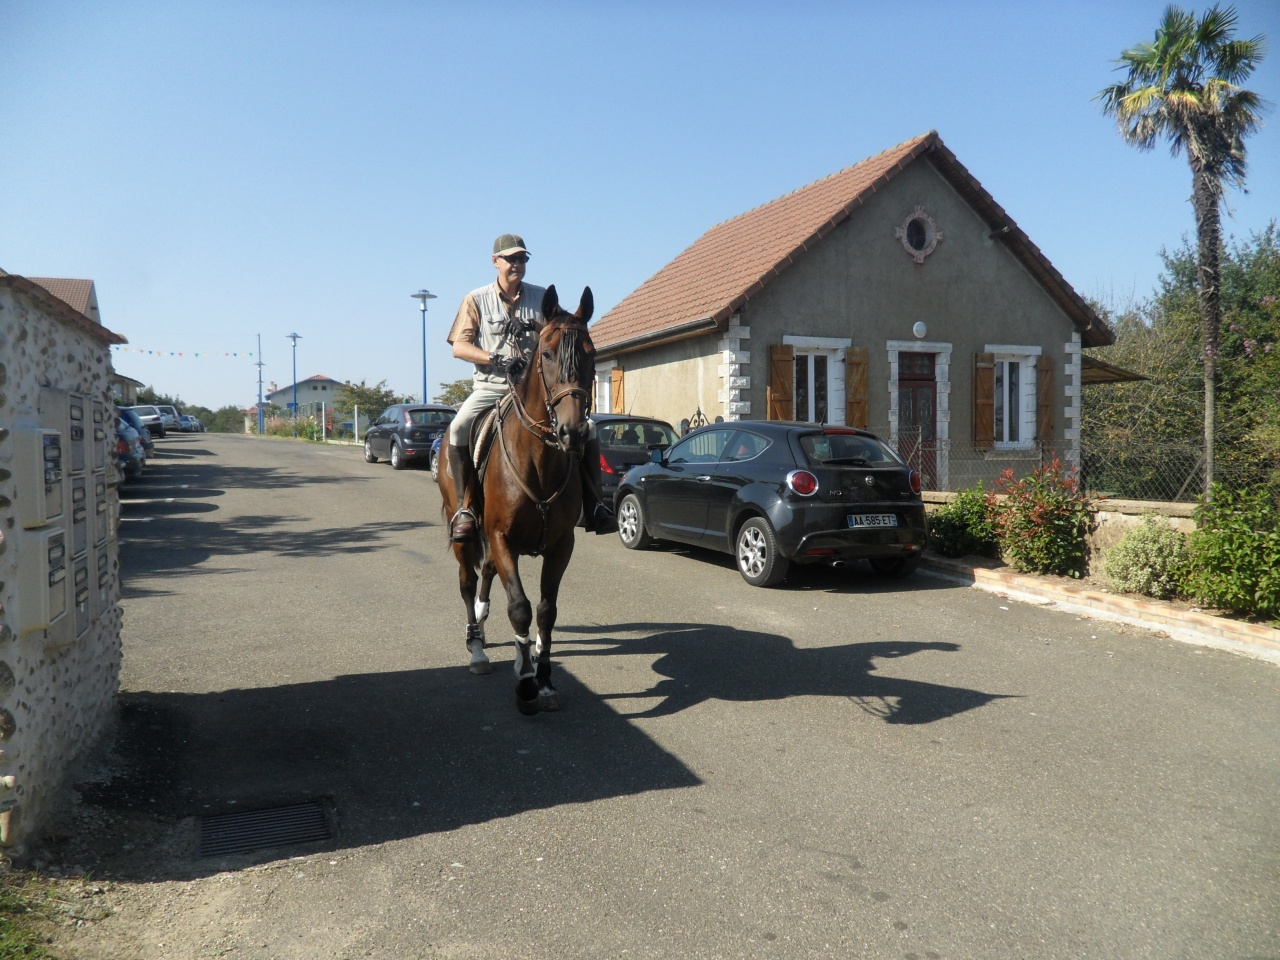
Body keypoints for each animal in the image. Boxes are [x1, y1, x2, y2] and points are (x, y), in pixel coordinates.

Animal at [437, 285, 596, 716]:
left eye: (591, 352)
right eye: (548, 354)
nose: (573, 432)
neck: (539, 460)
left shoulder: (561, 545)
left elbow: (545, 611)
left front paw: (544, 678)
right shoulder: (502, 537)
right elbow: (520, 608)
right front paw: (526, 684)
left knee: (487, 576)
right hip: (465, 531)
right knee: (467, 581)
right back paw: (476, 648)